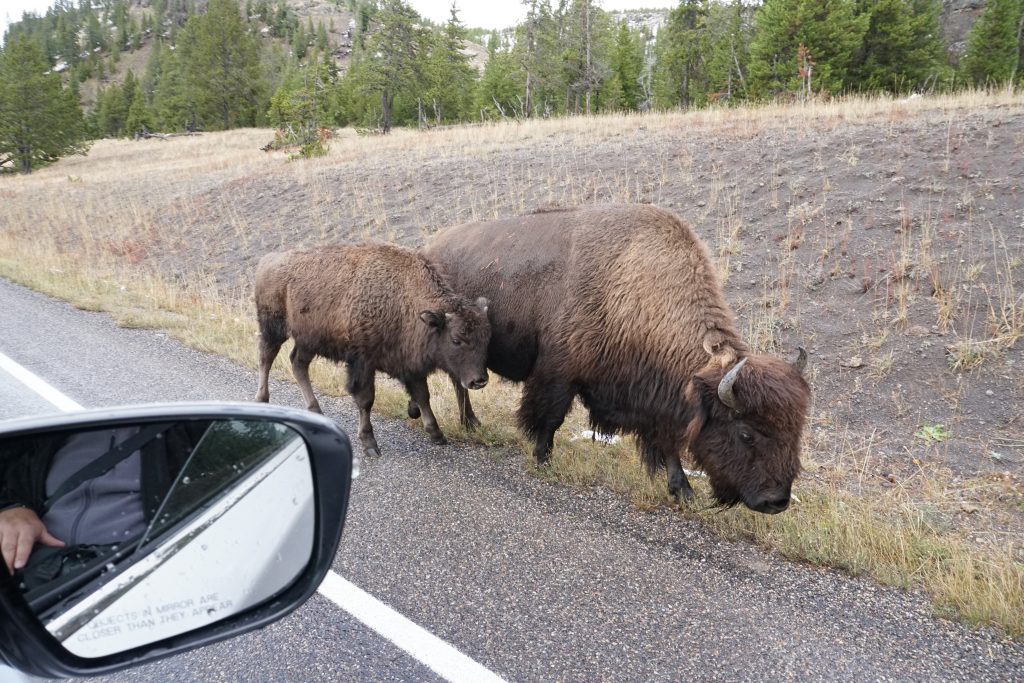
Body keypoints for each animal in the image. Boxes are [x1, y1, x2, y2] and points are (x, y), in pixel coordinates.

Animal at [256, 242, 495, 456]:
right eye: (456, 339)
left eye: (486, 338)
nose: (479, 380)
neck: (404, 301)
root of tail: (268, 260)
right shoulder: (363, 363)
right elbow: (366, 400)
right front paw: (369, 443)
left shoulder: (410, 364)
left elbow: (422, 396)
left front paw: (436, 434)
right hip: (273, 328)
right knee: (266, 358)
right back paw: (262, 400)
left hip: (308, 340)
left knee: (298, 364)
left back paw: (315, 410)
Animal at [413, 205, 806, 516]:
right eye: (746, 433)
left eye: (796, 431)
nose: (777, 502)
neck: (634, 289)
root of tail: (430, 247)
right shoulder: (559, 376)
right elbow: (550, 419)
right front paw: (543, 459)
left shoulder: (658, 399)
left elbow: (668, 444)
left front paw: (683, 491)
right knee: (458, 383)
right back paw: (465, 422)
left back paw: (468, 423)